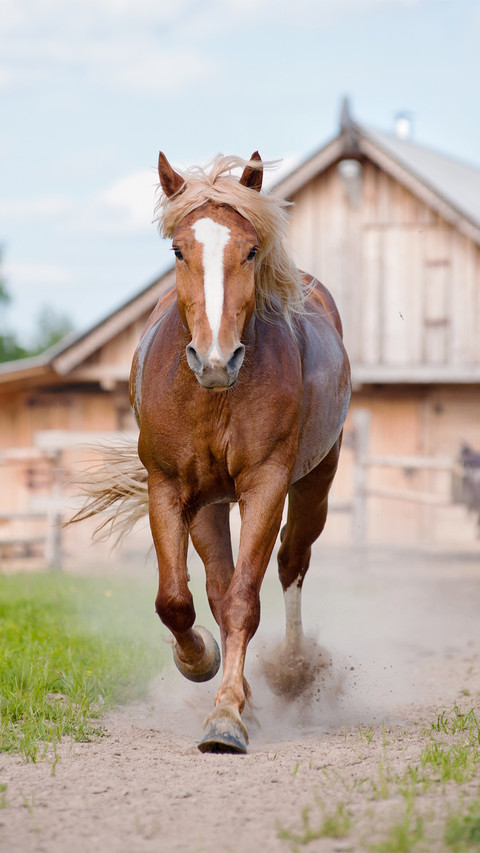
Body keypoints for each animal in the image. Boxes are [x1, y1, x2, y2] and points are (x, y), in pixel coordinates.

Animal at [78, 151, 351, 754]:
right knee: (216, 586)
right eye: (179, 250)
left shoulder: (266, 485)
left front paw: (226, 717)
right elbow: (177, 600)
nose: (216, 360)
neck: (215, 397)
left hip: (315, 484)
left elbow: (245, 601)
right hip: (209, 504)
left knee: (290, 562)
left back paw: (290, 672)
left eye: (249, 250)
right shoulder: (170, 488)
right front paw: (201, 662)